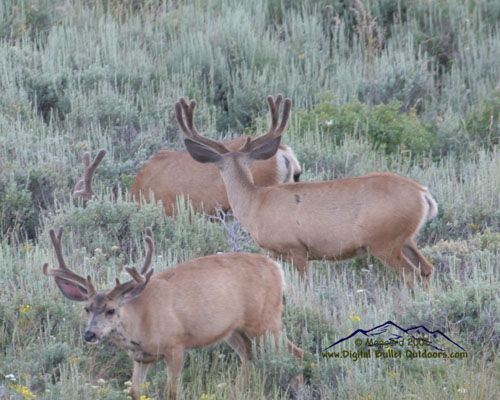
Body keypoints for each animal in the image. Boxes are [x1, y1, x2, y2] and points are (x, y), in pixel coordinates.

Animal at [42, 227, 300, 398]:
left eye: (111, 310)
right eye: (87, 308)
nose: (90, 334)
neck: (141, 322)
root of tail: (278, 269)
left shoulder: (176, 345)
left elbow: (171, 392)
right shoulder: (140, 358)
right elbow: (135, 391)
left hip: (266, 320)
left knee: (295, 352)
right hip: (235, 331)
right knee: (249, 357)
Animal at [176, 94, 438, 290]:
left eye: (218, 167)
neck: (255, 203)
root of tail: (423, 194)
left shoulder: (296, 248)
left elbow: (305, 286)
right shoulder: (279, 254)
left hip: (385, 240)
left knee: (411, 274)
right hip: (406, 238)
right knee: (426, 269)